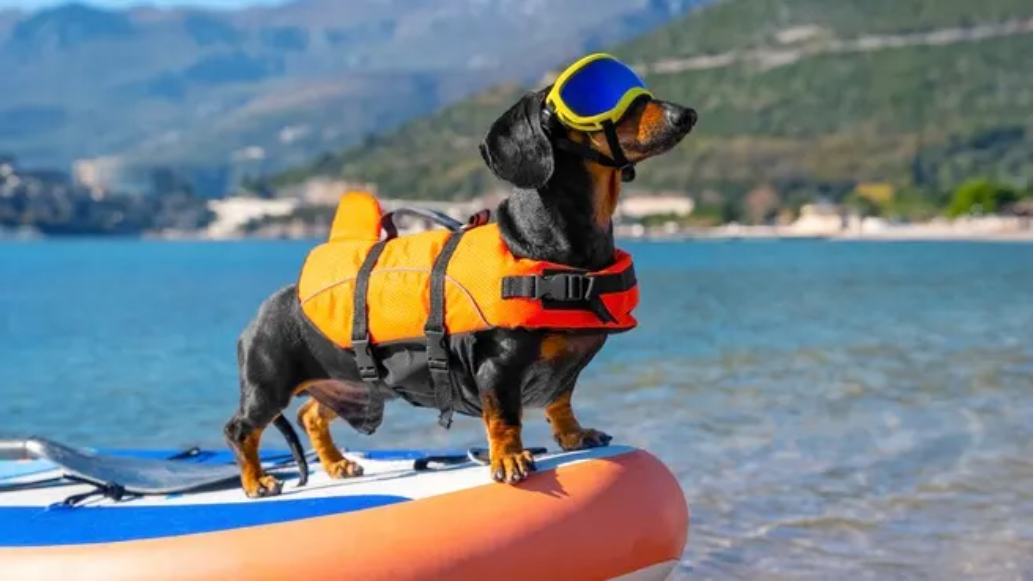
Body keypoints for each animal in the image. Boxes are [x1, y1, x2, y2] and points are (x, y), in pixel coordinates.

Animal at [223, 83, 698, 500]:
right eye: (600, 97)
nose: (686, 115)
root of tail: (264, 310)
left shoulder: (567, 369)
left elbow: (561, 400)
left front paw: (574, 435)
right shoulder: (497, 368)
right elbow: (504, 417)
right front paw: (509, 458)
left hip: (350, 383)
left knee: (310, 414)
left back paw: (336, 463)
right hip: (268, 386)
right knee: (240, 429)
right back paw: (256, 481)